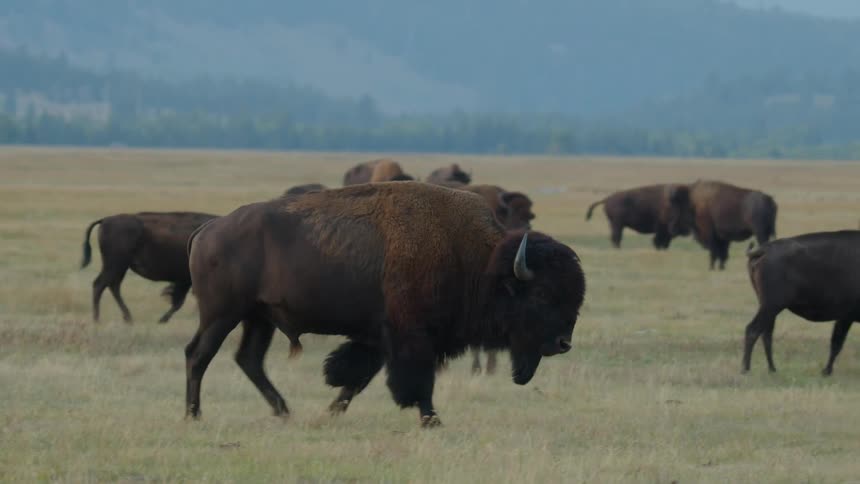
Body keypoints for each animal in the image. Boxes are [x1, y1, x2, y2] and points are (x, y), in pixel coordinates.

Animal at [80, 212, 217, 323]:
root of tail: (105, 220)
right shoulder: (186, 280)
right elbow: (179, 302)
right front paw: (162, 320)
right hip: (115, 266)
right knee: (100, 285)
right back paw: (98, 319)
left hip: (120, 268)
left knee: (113, 287)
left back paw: (127, 318)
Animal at [185, 182, 585, 427]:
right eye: (542, 294)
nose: (564, 343)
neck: (479, 262)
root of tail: (209, 229)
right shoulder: (411, 335)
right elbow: (416, 381)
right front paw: (432, 421)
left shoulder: (379, 336)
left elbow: (358, 376)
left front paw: (331, 412)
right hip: (222, 314)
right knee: (199, 355)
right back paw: (194, 415)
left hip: (258, 317)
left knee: (249, 358)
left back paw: (284, 411)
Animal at [743, 231, 858, 376]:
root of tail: (764, 249)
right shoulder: (845, 317)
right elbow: (837, 343)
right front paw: (826, 371)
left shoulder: (844, 318)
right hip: (771, 306)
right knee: (753, 330)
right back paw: (746, 370)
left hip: (769, 308)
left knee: (766, 334)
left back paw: (772, 369)